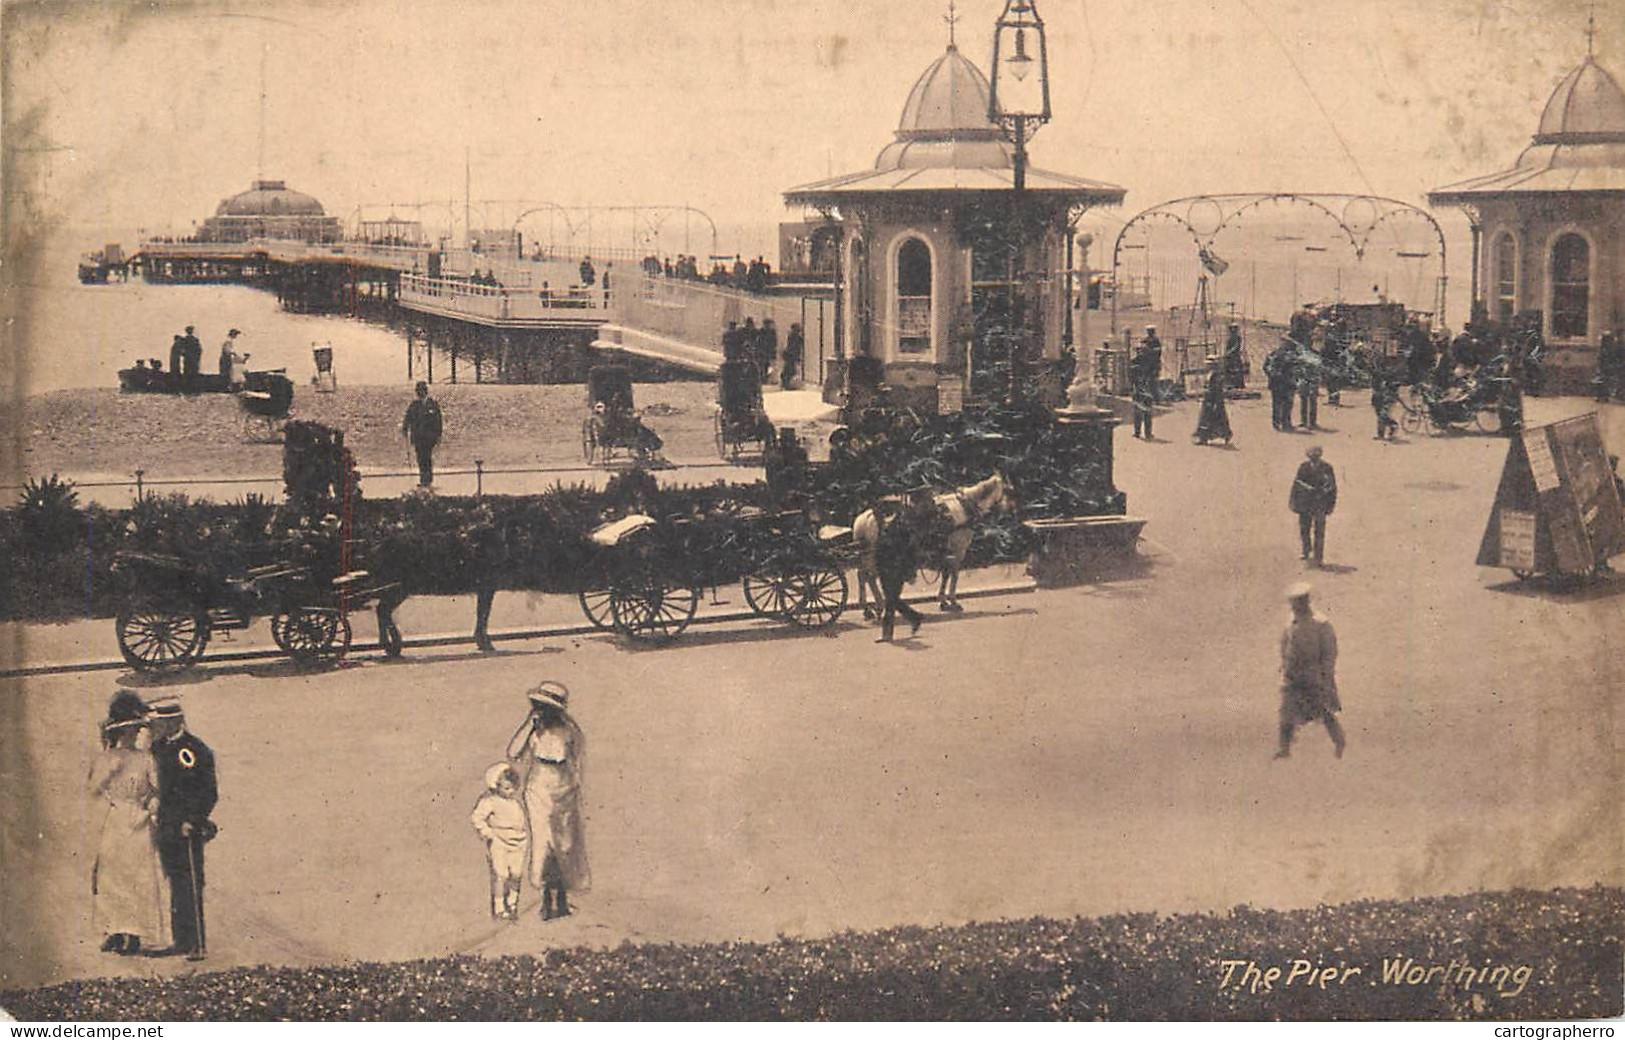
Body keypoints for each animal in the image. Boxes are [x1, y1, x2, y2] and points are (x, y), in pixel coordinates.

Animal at [858, 471, 1007, 617]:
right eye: (1007, 489)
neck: (965, 507)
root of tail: (863, 519)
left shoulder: (948, 551)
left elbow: (945, 575)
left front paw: (943, 601)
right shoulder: (959, 550)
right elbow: (954, 576)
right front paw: (953, 601)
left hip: (866, 556)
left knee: (862, 575)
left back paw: (867, 608)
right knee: (870, 578)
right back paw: (879, 605)